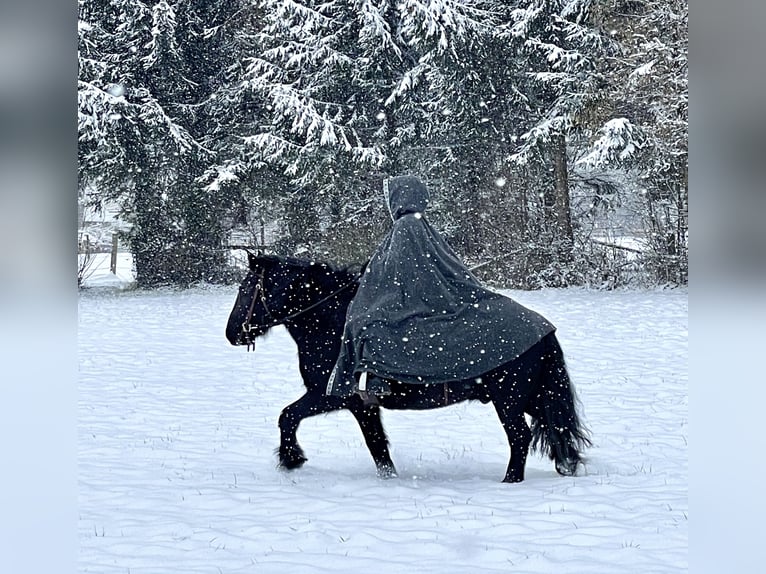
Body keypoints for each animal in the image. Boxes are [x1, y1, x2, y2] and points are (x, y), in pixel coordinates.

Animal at [225, 254, 592, 484]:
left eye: (246, 289)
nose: (231, 333)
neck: (333, 323)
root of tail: (543, 329)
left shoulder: (333, 396)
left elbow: (288, 416)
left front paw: (291, 458)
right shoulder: (362, 406)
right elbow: (377, 444)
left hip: (510, 401)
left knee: (521, 437)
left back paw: (510, 481)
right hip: (531, 397)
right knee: (555, 427)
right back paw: (567, 463)